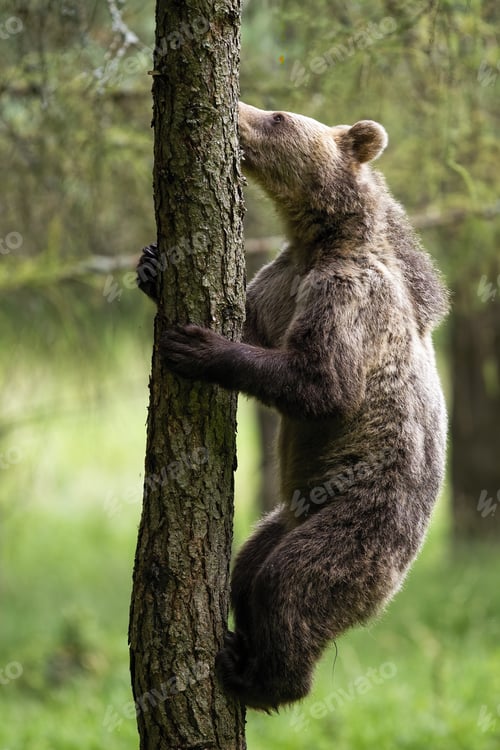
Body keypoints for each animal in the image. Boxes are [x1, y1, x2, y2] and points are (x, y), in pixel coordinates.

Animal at [136, 101, 449, 712]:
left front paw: (198, 345)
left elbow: (322, 385)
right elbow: (254, 323)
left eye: (280, 116)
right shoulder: (280, 282)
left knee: (291, 586)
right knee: (247, 568)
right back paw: (241, 642)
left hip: (359, 521)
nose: (238, 108)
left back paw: (264, 678)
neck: (320, 241)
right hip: (287, 515)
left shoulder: (348, 296)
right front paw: (154, 268)